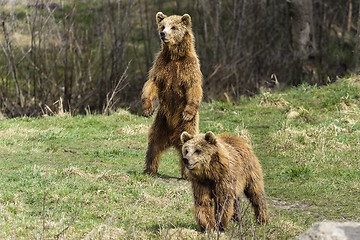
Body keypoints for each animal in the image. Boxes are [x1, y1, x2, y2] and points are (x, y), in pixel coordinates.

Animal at [141, 12, 202, 179]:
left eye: (173, 27)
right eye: (163, 26)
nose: (163, 34)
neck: (175, 57)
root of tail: (172, 138)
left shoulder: (189, 68)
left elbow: (193, 88)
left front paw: (188, 112)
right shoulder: (162, 66)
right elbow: (152, 83)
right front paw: (147, 109)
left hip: (186, 127)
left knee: (187, 144)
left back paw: (187, 174)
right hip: (161, 121)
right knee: (154, 143)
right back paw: (149, 169)